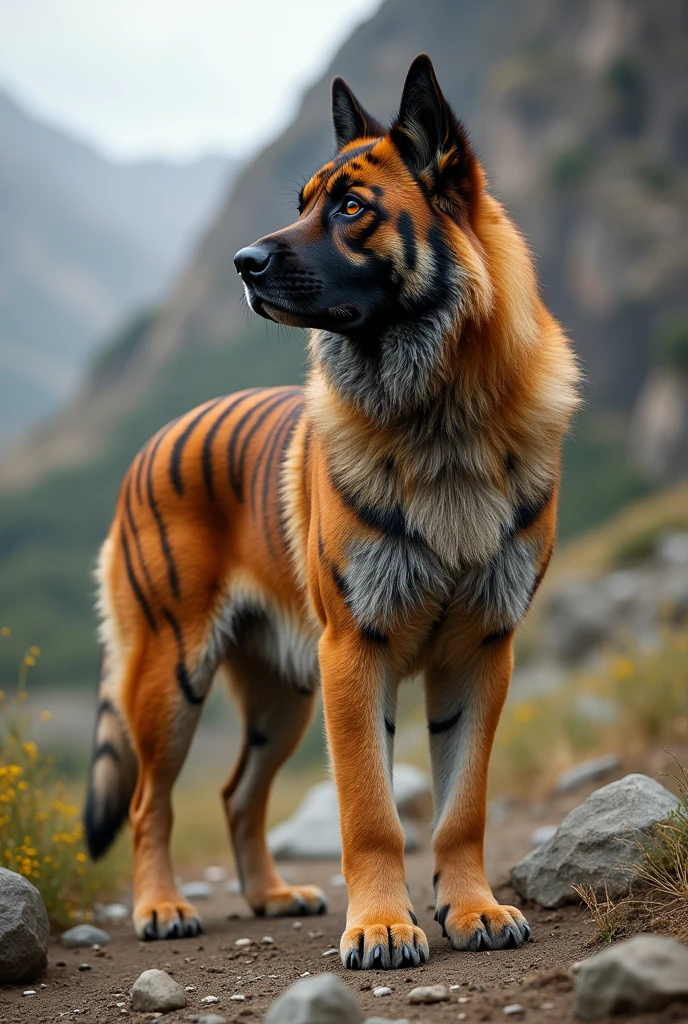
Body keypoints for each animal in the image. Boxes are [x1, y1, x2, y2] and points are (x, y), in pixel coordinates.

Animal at [86, 54, 581, 966]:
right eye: (303, 203)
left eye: (351, 207)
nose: (241, 261)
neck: (438, 413)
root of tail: (151, 441)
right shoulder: (357, 649)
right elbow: (369, 811)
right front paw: (383, 925)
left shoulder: (482, 650)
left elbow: (461, 807)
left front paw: (473, 910)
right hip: (171, 677)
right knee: (148, 802)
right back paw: (162, 908)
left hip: (281, 691)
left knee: (238, 793)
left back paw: (273, 895)